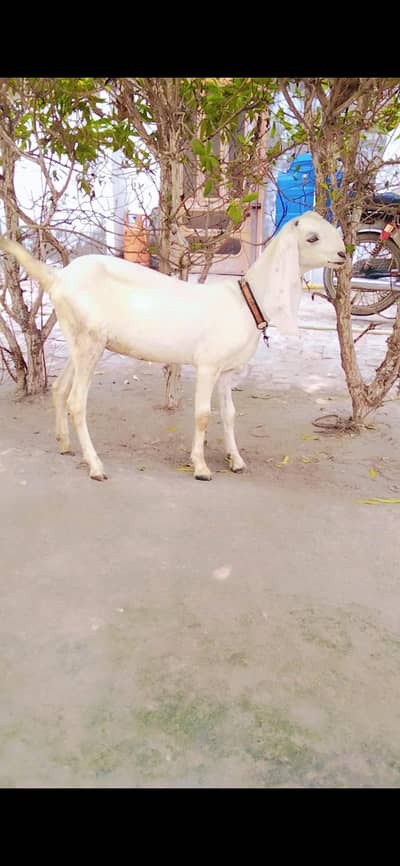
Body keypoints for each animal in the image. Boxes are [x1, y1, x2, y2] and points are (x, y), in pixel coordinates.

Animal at [0, 212, 346, 481]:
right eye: (312, 237)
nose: (343, 255)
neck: (248, 299)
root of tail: (58, 277)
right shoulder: (207, 365)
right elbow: (203, 414)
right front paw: (201, 467)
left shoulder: (227, 371)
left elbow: (230, 414)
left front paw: (236, 461)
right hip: (89, 343)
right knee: (76, 401)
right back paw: (95, 465)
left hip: (79, 338)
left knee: (59, 388)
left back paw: (64, 445)